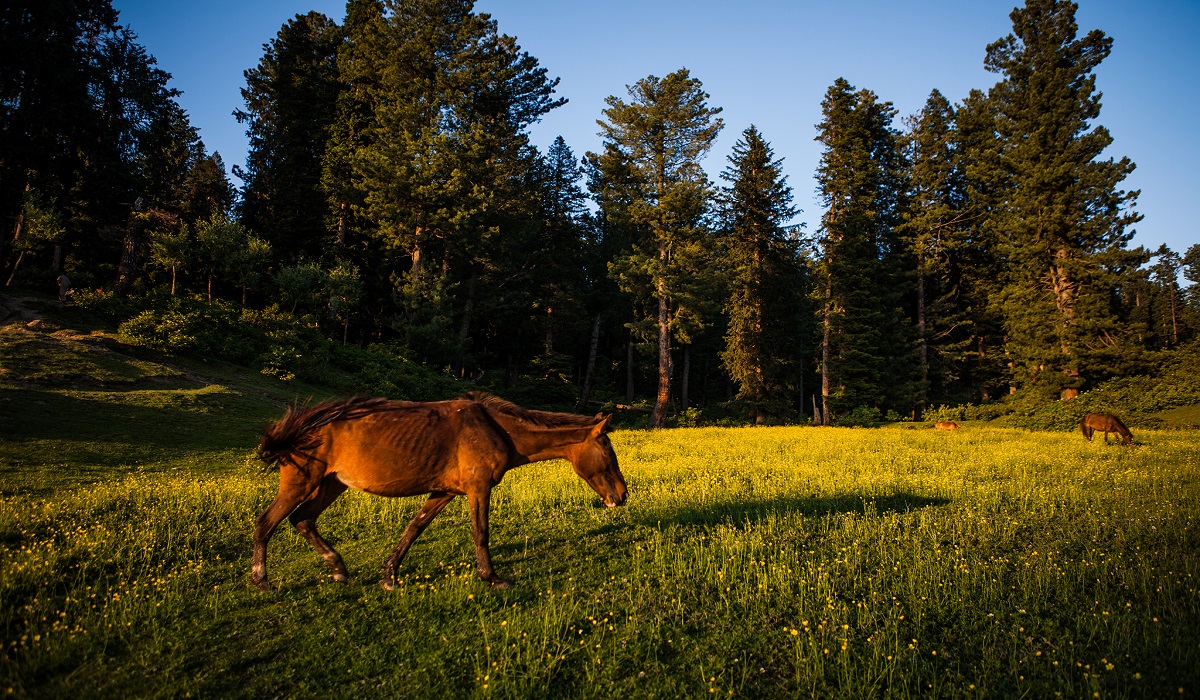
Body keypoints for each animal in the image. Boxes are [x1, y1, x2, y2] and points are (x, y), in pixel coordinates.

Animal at [253, 393, 628, 590]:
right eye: (607, 449)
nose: (623, 495)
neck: (496, 429)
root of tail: (304, 425)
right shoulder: (478, 489)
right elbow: (480, 533)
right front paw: (492, 577)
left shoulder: (444, 492)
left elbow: (414, 528)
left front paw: (390, 574)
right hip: (301, 483)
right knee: (266, 522)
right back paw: (262, 579)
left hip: (332, 484)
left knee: (302, 520)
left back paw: (338, 568)